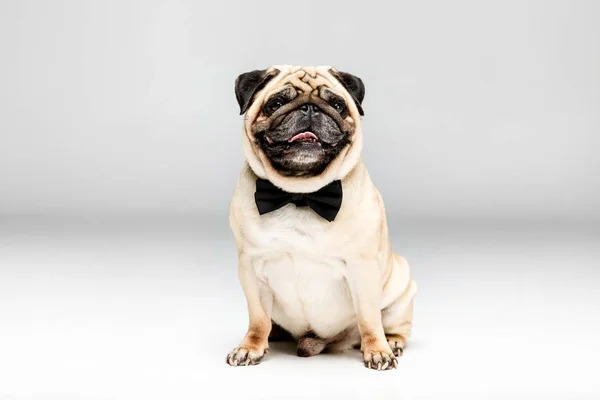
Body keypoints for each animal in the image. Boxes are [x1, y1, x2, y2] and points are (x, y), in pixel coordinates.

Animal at [226, 66, 418, 372]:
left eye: (337, 106)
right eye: (276, 104)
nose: (309, 108)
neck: (301, 194)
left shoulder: (362, 269)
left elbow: (369, 319)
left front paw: (377, 351)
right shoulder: (251, 268)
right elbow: (257, 319)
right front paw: (250, 347)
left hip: (402, 287)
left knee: (392, 324)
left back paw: (392, 342)